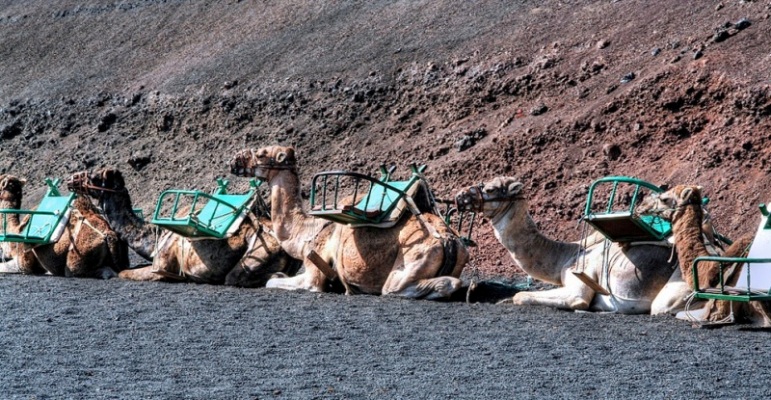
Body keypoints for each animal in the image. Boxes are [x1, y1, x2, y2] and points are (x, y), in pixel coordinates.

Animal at [68, 167, 302, 286]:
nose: (71, 179)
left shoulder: (162, 269)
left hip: (258, 254)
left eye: (94, 176)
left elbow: (124, 273)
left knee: (238, 277)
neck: (156, 236)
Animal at [228, 145, 470, 298]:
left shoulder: (313, 273)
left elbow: (273, 280)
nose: (234, 161)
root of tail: (449, 240)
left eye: (261, 154)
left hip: (411, 261)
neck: (308, 231)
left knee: (400, 288)